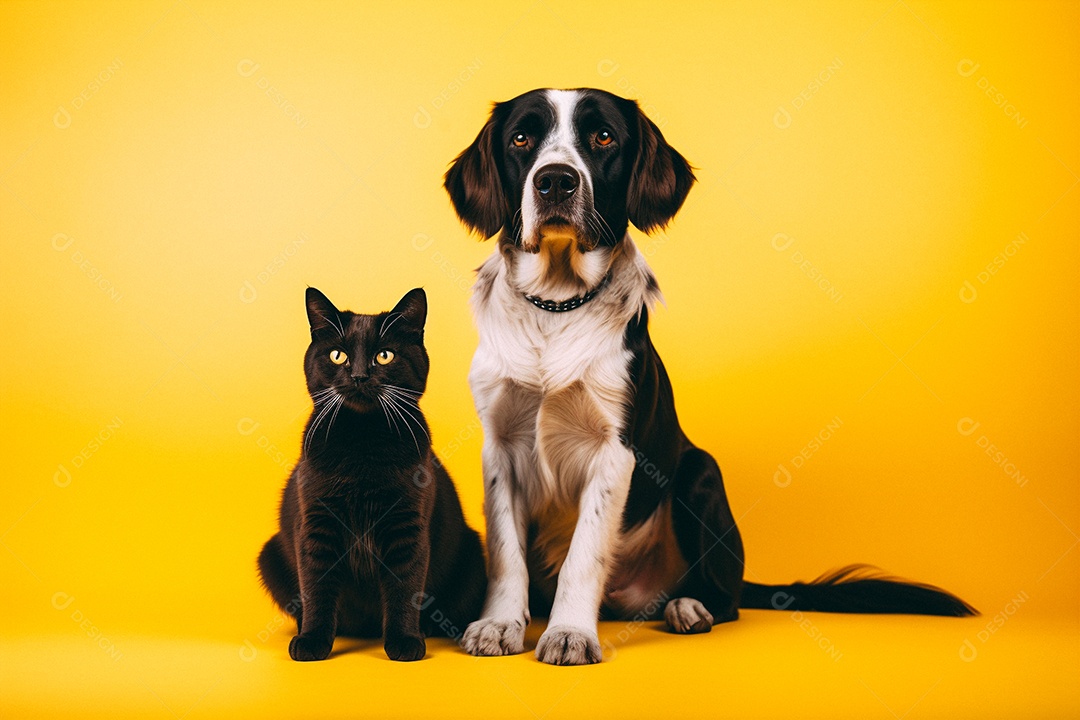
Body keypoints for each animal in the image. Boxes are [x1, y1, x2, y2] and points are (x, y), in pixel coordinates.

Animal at [257, 287, 486, 664]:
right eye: (337, 356)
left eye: (384, 355)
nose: (360, 376)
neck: (362, 445)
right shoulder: (316, 526)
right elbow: (317, 588)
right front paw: (312, 641)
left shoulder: (408, 528)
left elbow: (405, 587)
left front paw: (405, 641)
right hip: (269, 555)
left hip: (472, 556)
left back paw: (428, 628)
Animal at [442, 87, 976, 669]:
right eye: (521, 138)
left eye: (603, 137)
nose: (556, 180)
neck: (555, 309)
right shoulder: (500, 448)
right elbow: (505, 553)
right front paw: (500, 624)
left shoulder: (615, 451)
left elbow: (584, 554)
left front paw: (569, 632)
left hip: (702, 474)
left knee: (724, 600)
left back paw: (688, 608)